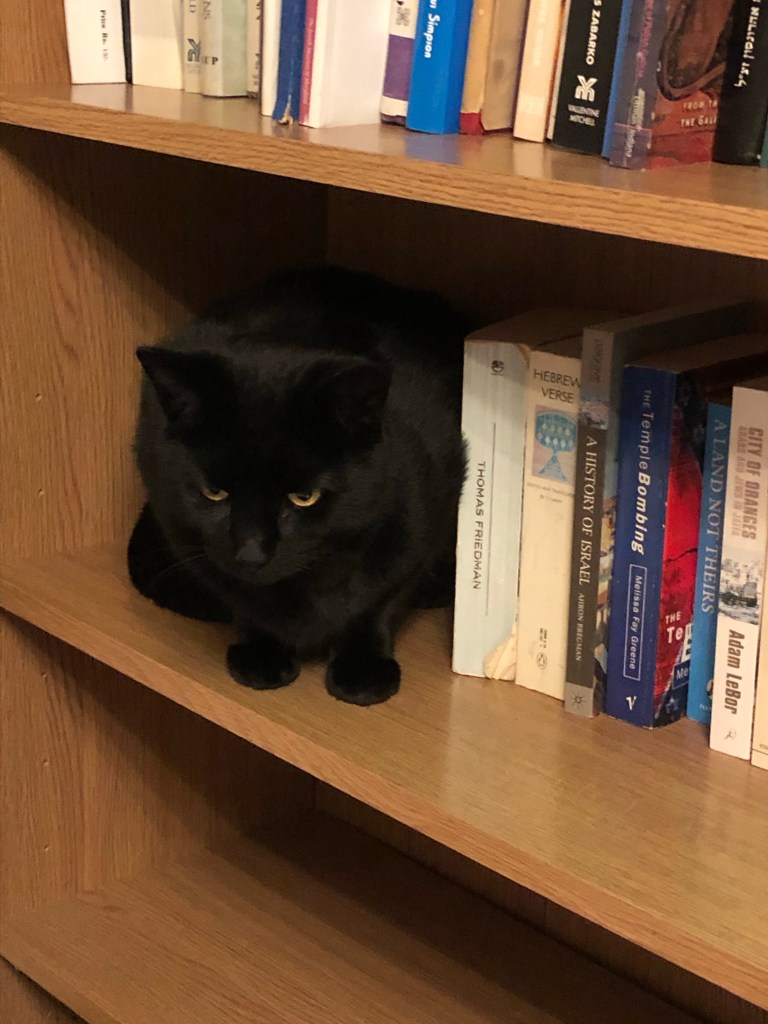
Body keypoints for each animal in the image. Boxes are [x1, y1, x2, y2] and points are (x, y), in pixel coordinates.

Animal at [129, 267, 468, 705]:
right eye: (214, 492)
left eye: (304, 497)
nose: (251, 553)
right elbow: (243, 603)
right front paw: (261, 652)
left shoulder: (425, 514)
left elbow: (379, 602)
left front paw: (363, 669)